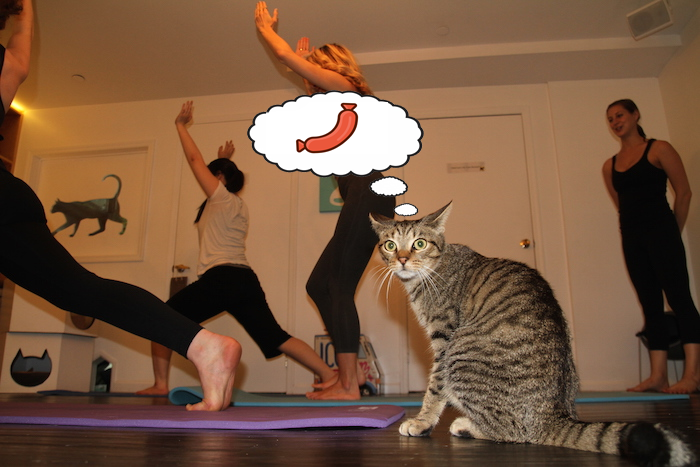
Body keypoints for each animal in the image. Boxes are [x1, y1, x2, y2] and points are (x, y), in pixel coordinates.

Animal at [369, 202, 695, 467]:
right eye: (389, 245)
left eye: (419, 243)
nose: (401, 259)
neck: (433, 271)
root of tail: (555, 414)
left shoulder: (444, 339)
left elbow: (434, 390)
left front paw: (422, 422)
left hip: (459, 357)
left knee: (515, 432)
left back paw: (466, 426)